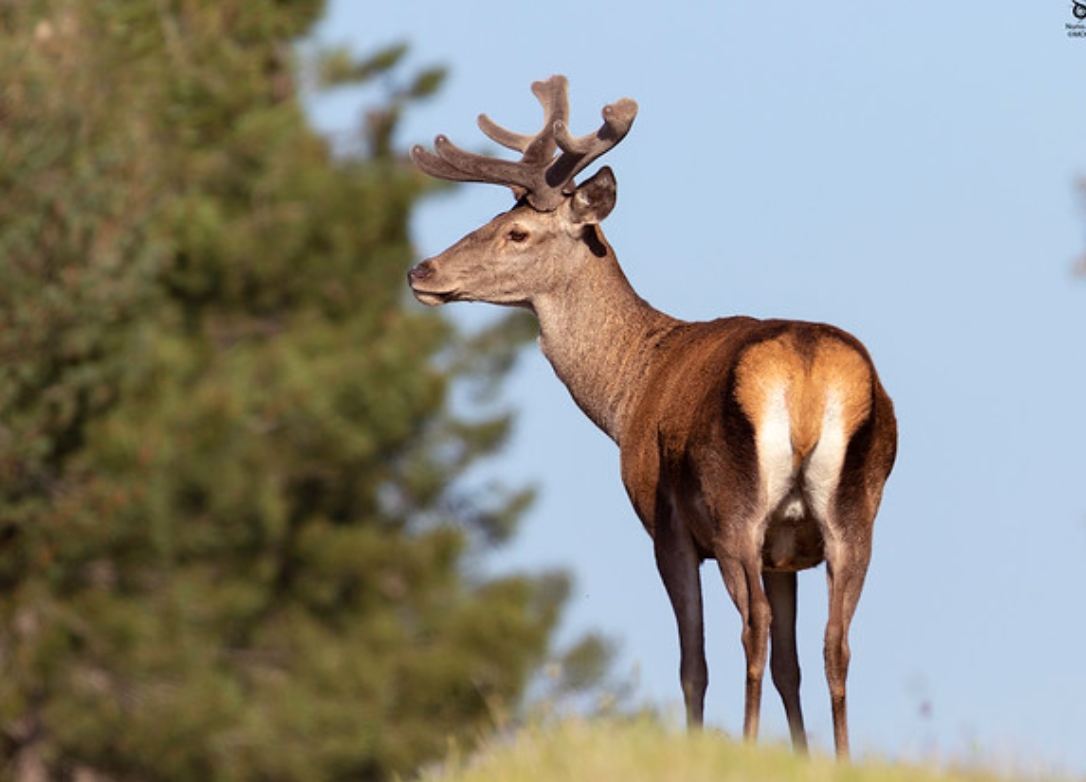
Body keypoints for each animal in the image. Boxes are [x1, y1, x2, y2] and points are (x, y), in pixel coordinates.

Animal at [407, 75, 897, 760]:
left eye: (517, 233)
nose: (421, 271)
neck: (628, 394)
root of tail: (805, 371)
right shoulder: (787, 549)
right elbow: (791, 667)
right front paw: (804, 758)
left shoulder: (665, 521)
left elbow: (694, 662)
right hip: (856, 514)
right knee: (835, 643)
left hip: (735, 507)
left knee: (752, 629)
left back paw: (744, 740)